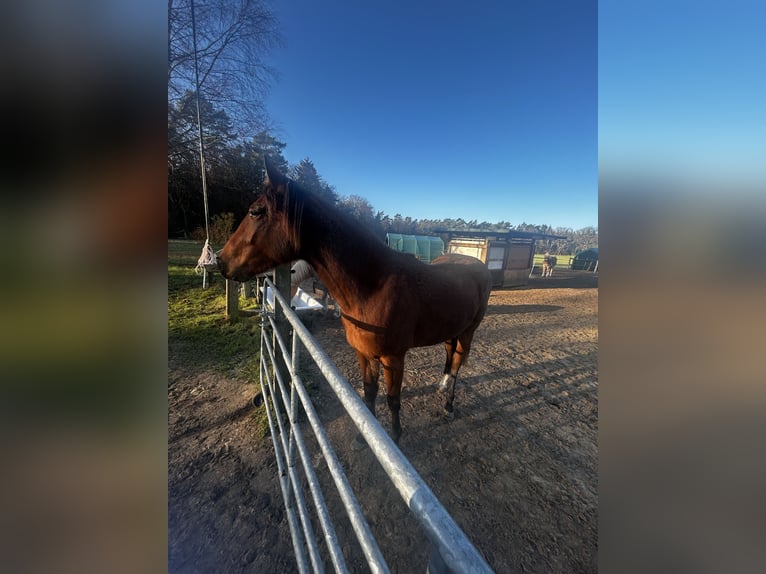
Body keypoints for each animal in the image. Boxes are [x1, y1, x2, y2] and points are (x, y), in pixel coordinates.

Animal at [218, 157, 492, 443]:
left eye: (256, 212)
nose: (221, 261)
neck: (374, 286)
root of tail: (477, 264)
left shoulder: (394, 359)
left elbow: (393, 400)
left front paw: (395, 437)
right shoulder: (364, 353)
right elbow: (369, 391)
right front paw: (367, 437)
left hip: (469, 332)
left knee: (458, 363)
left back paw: (449, 406)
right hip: (453, 329)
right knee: (450, 355)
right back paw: (442, 386)